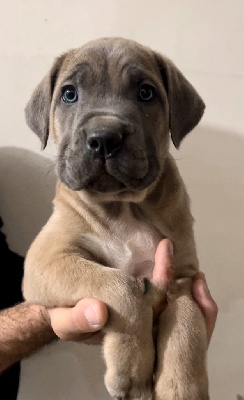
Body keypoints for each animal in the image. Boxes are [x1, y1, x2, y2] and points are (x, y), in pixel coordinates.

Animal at [22, 37, 209, 400]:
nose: (105, 137)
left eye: (146, 93)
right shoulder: (48, 258)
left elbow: (187, 325)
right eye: (69, 94)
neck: (124, 206)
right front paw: (131, 372)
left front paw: (182, 385)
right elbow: (123, 286)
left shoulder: (183, 276)